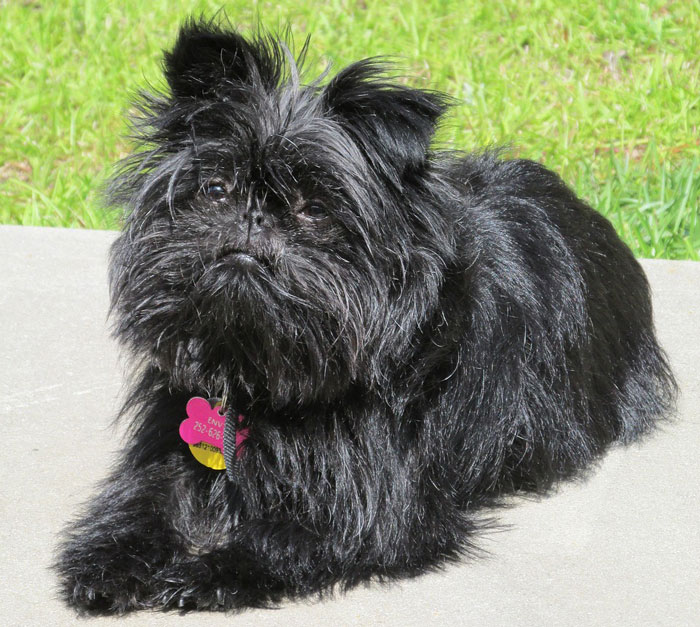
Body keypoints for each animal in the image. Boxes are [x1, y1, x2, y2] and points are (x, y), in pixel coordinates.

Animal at [57, 18, 676, 612]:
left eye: (313, 208)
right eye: (215, 188)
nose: (254, 218)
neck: (263, 367)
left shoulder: (376, 509)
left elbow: (288, 538)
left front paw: (207, 572)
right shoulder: (169, 442)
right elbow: (141, 501)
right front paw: (107, 559)